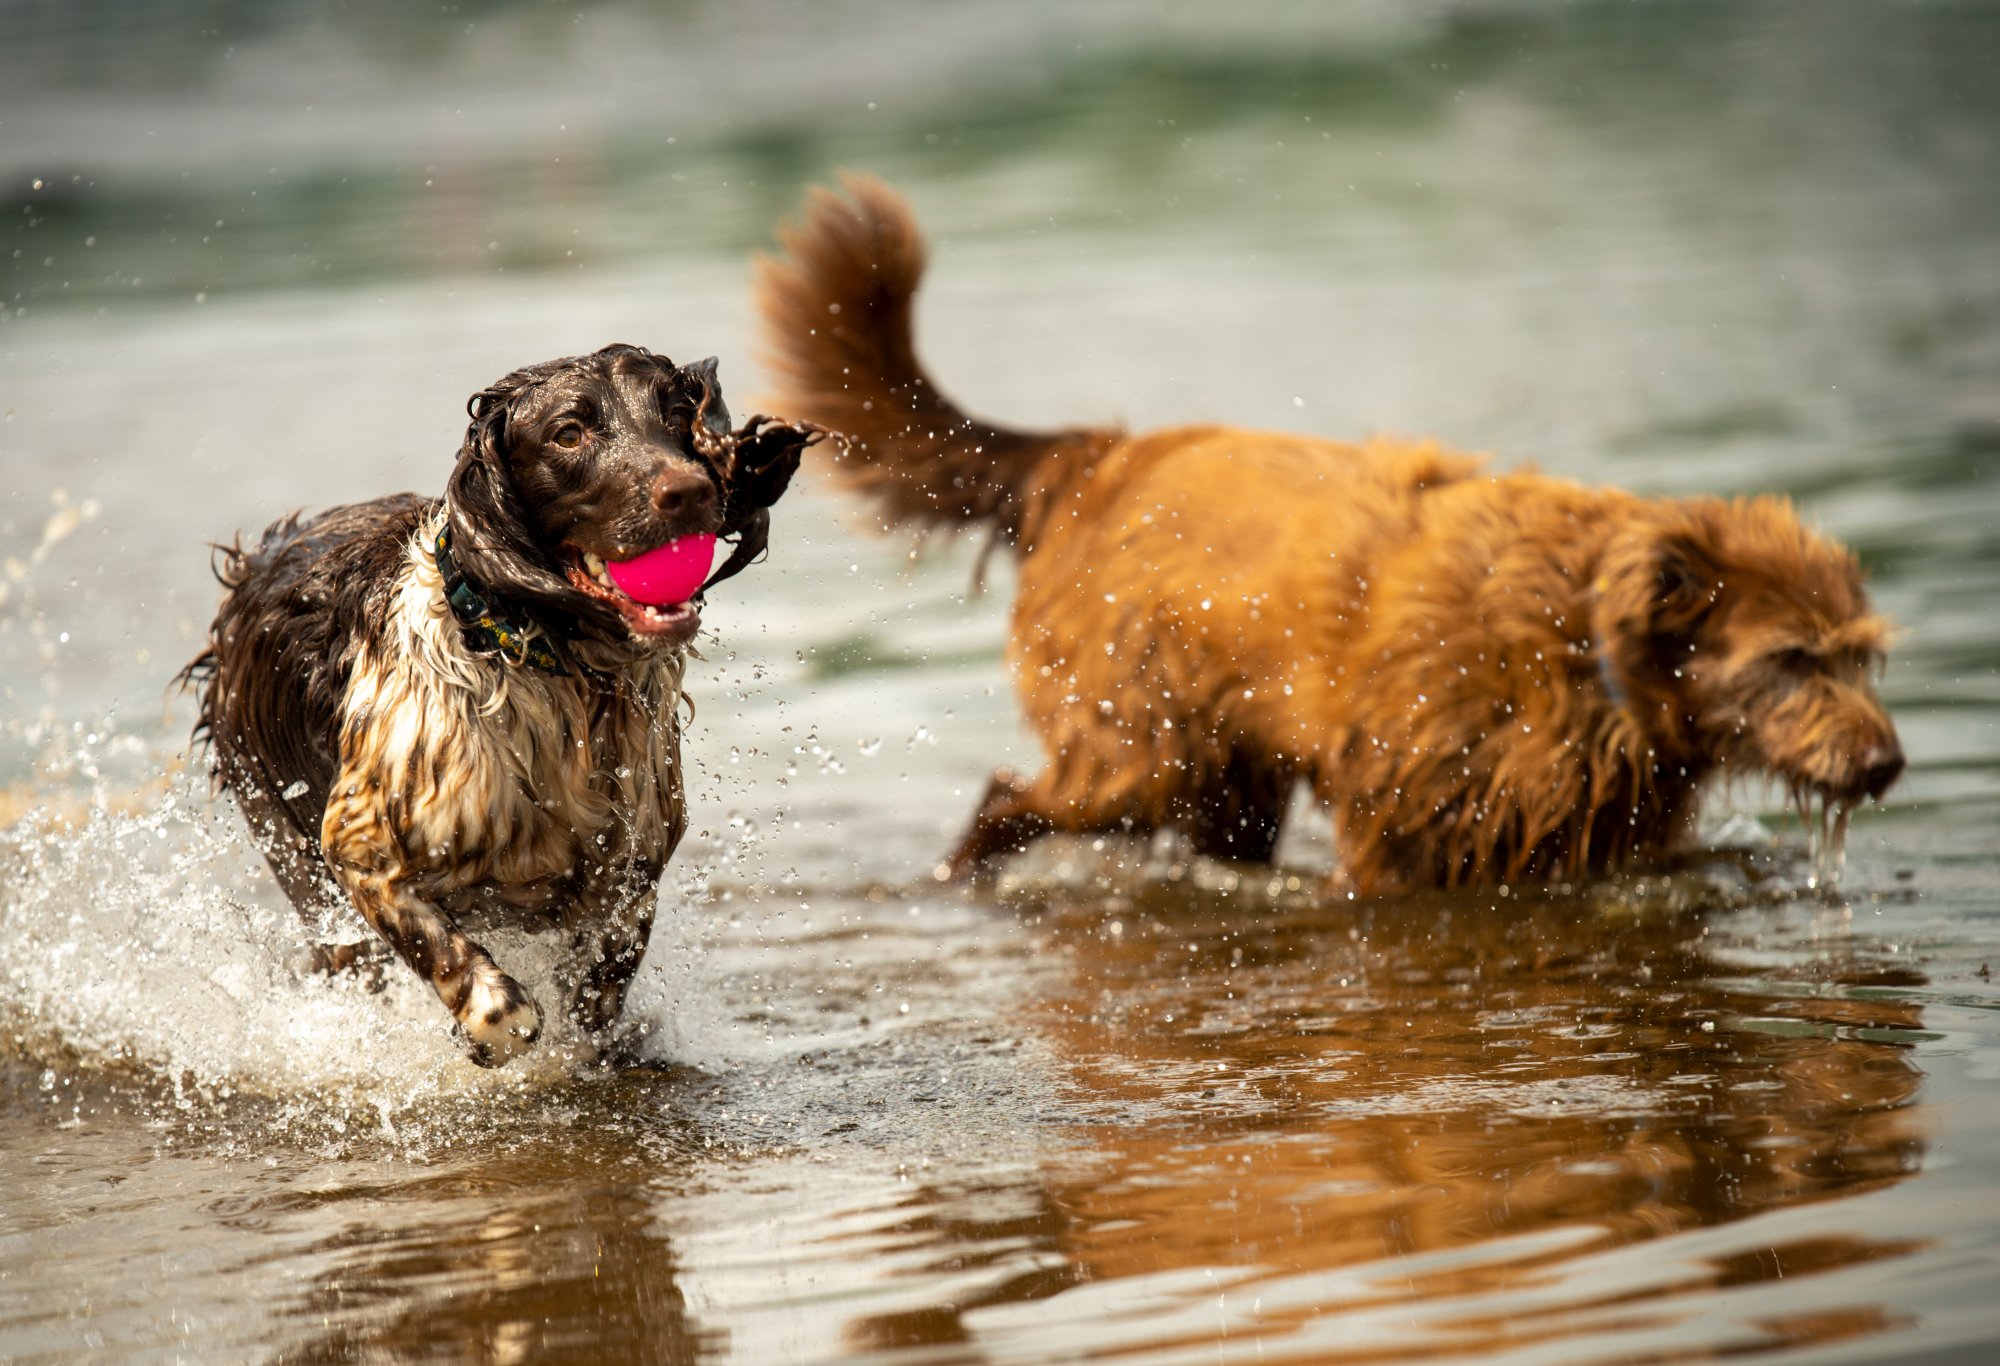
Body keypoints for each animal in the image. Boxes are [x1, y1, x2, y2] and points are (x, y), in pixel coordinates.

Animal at [752, 176, 1904, 892]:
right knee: (1010, 800)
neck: (1584, 642)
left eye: (1863, 658)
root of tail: (1088, 460)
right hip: (1139, 742)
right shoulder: (1408, 821)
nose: (1887, 765)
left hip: (1219, 770)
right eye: (1789, 659)